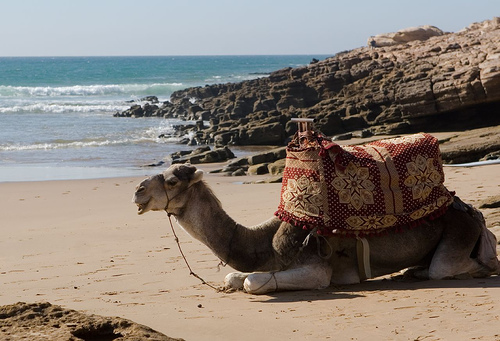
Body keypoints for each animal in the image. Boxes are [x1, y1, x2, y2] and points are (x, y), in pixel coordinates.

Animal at [131, 163, 498, 294]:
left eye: (172, 180)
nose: (137, 191)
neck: (263, 241)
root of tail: (470, 210)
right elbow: (234, 276)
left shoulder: (316, 268)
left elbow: (251, 282)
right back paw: (410, 272)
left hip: (458, 232)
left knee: (459, 267)